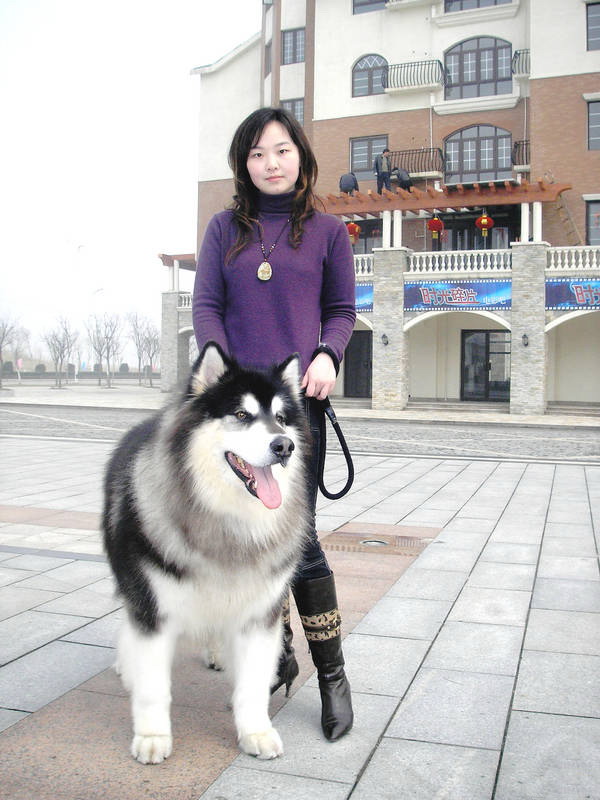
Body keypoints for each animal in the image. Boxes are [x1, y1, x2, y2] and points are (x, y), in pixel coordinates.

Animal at [102, 342, 310, 764]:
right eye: (242, 415)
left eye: (281, 418)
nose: (284, 446)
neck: (227, 521)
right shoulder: (152, 607)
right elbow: (153, 686)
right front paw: (152, 736)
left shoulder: (259, 612)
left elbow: (252, 683)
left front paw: (255, 731)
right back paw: (126, 665)